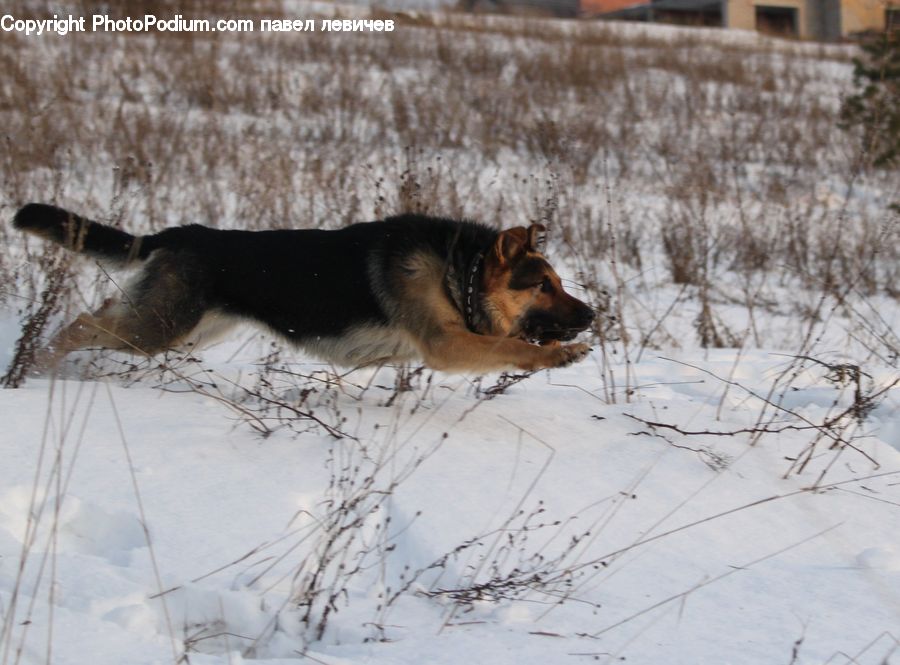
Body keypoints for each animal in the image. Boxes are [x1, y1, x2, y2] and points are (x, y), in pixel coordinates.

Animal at [14, 202, 596, 374]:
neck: (464, 270)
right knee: (81, 324)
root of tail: (179, 233)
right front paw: (559, 355)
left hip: (183, 328)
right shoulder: (447, 345)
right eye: (544, 286)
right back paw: (34, 366)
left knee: (105, 311)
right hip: (158, 329)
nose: (593, 316)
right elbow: (509, 347)